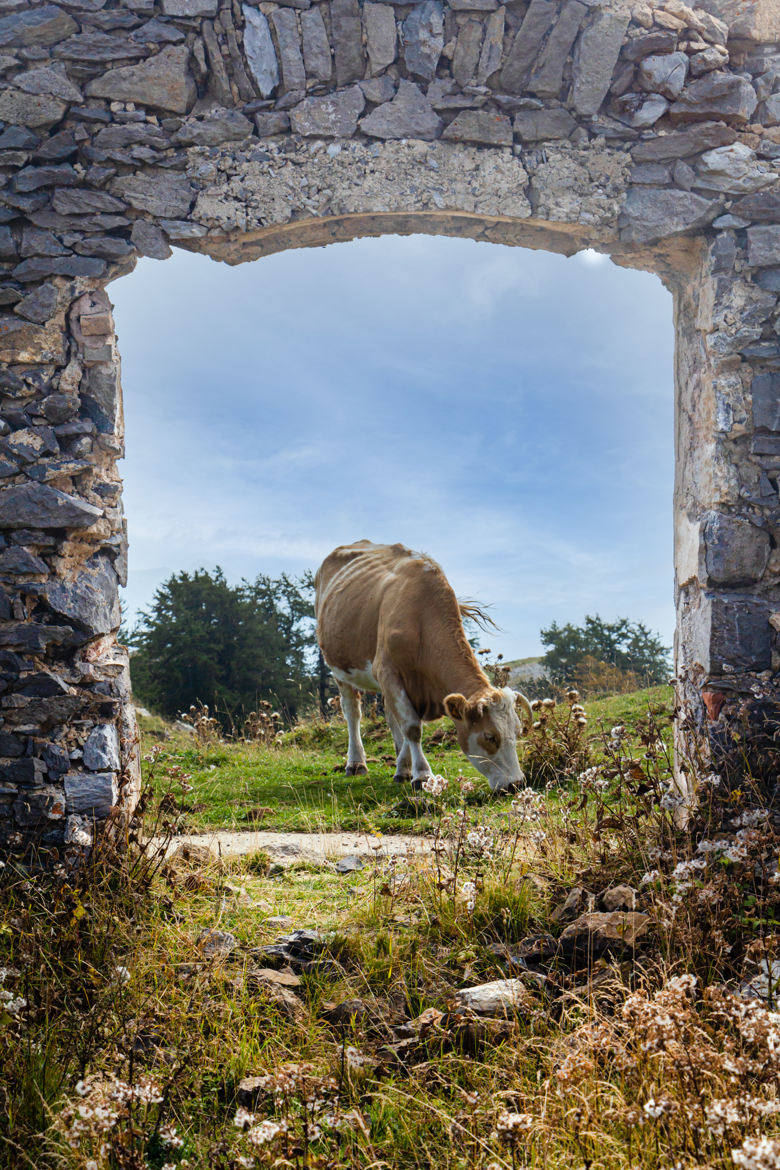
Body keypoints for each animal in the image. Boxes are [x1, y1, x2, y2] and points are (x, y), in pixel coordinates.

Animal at [313, 542, 533, 790]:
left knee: (391, 717)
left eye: (518, 731)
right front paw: (422, 775)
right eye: (490, 736)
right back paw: (356, 763)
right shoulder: (388, 672)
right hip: (339, 669)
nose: (516, 783)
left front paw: (404, 768)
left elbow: (403, 723)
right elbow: (412, 727)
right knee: (352, 712)